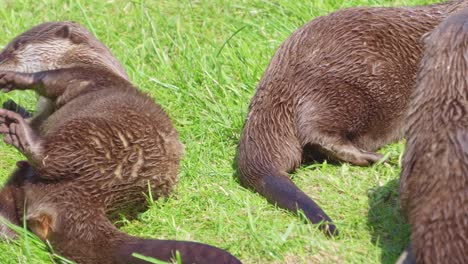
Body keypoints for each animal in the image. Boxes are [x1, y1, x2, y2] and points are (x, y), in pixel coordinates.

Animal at [0, 21, 241, 262]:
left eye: (17, 45)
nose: (1, 59)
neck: (89, 60)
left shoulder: (85, 74)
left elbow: (49, 80)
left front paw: (14, 79)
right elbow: (36, 119)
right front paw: (12, 105)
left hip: (94, 135)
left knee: (51, 158)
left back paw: (20, 134)